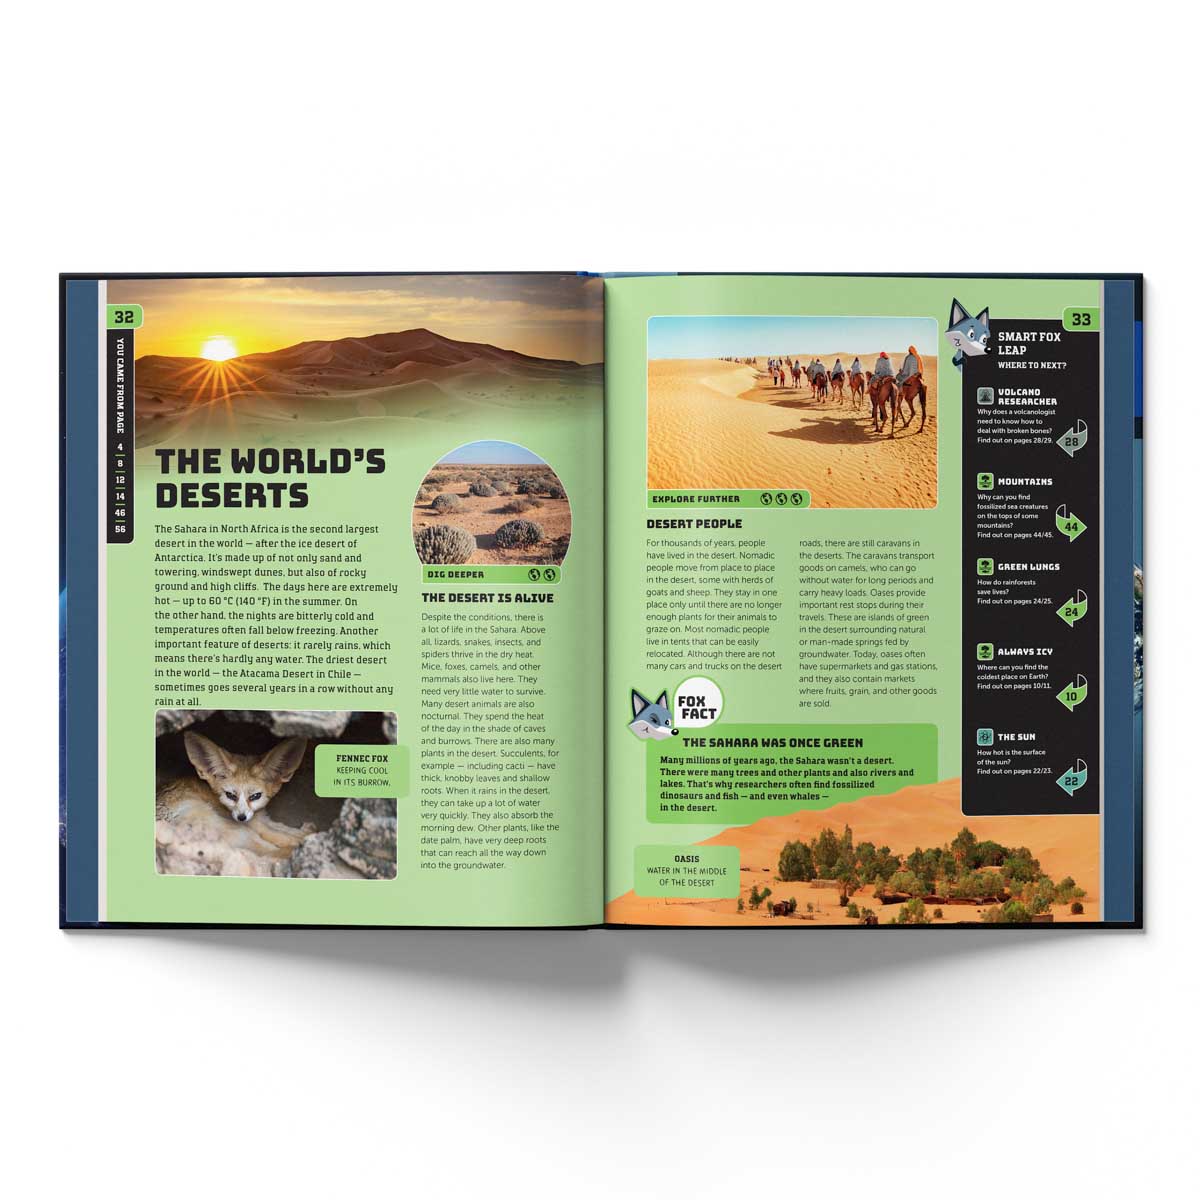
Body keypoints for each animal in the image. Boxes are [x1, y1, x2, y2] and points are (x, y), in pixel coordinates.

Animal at [155, 731, 310, 860]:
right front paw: (301, 839)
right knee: (270, 852)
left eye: (255, 796)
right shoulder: (256, 825)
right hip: (240, 831)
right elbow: (281, 836)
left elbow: (284, 828)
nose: (241, 817)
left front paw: (305, 831)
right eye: (230, 795)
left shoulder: (262, 818)